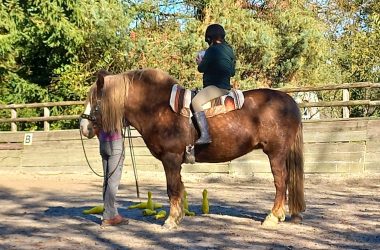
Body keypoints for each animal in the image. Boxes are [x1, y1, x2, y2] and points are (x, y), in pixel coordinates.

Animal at [81, 68, 306, 229]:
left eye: (95, 101)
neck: (158, 108)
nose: (83, 127)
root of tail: (290, 101)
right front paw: (179, 215)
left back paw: (272, 217)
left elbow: (172, 188)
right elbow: (179, 188)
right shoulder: (174, 161)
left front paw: (171, 221)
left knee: (280, 181)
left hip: (276, 153)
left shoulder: (170, 158)